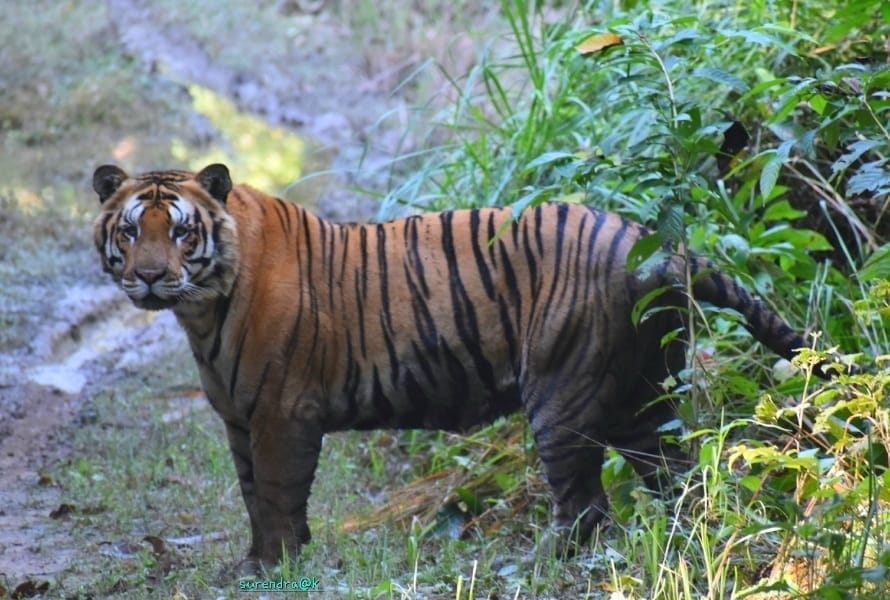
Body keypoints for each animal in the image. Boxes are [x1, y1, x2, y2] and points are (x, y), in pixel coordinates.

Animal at [92, 163, 822, 570]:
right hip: (644, 398)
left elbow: (273, 496)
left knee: (586, 507)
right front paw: (259, 563)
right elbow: (251, 496)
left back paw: (539, 565)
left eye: (181, 231)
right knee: (680, 477)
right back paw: (685, 533)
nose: (150, 277)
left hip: (564, 393)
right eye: (129, 230)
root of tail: (651, 243)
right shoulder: (240, 419)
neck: (202, 309)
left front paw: (273, 570)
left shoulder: (279, 414)